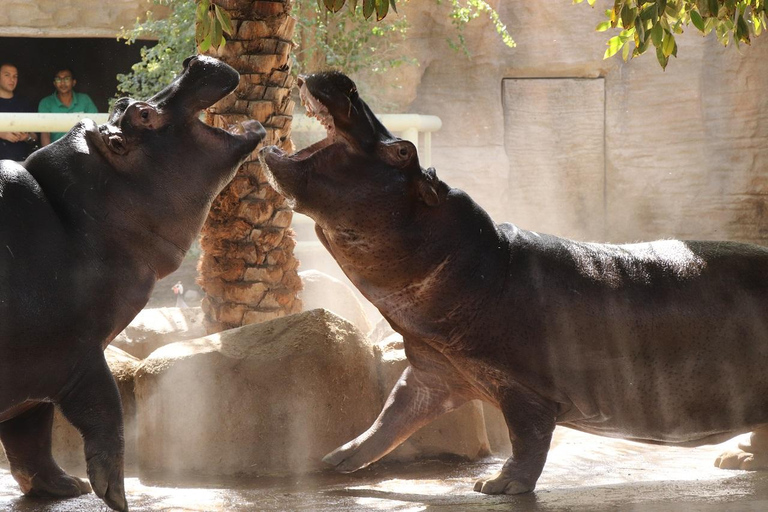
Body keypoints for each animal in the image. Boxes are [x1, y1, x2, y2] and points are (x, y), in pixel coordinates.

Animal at [0, 54, 266, 510]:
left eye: (123, 103)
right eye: (144, 114)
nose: (193, 60)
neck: (81, 215)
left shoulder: (33, 387)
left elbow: (31, 436)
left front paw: (65, 487)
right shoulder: (76, 353)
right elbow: (107, 411)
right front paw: (114, 495)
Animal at [262, 71, 768, 496]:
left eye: (403, 150)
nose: (346, 84)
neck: (478, 260)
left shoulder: (525, 388)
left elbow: (527, 437)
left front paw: (496, 486)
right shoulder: (433, 370)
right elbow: (390, 415)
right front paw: (334, 459)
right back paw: (735, 459)